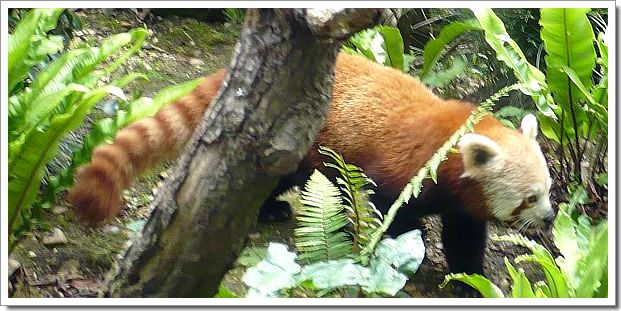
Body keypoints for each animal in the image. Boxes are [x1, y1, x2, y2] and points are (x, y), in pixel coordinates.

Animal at [68, 52, 552, 276]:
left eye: (548, 192)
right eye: (530, 198)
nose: (549, 218)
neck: (449, 144)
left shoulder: (461, 201)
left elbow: (464, 237)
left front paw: (470, 276)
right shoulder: (402, 172)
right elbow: (391, 214)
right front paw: (402, 252)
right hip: (289, 139)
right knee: (268, 179)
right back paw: (271, 210)